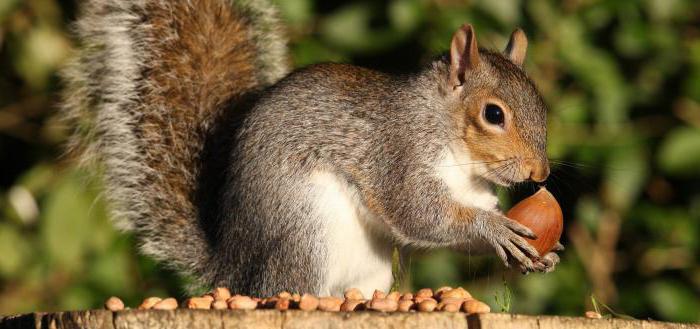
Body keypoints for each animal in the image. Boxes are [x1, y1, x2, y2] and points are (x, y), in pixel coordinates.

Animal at [61, 0, 564, 298]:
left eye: (541, 103)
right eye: (493, 114)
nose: (539, 175)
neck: (462, 160)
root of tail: (234, 272)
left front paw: (540, 253)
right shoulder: (397, 153)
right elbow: (419, 213)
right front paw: (492, 229)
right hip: (305, 233)